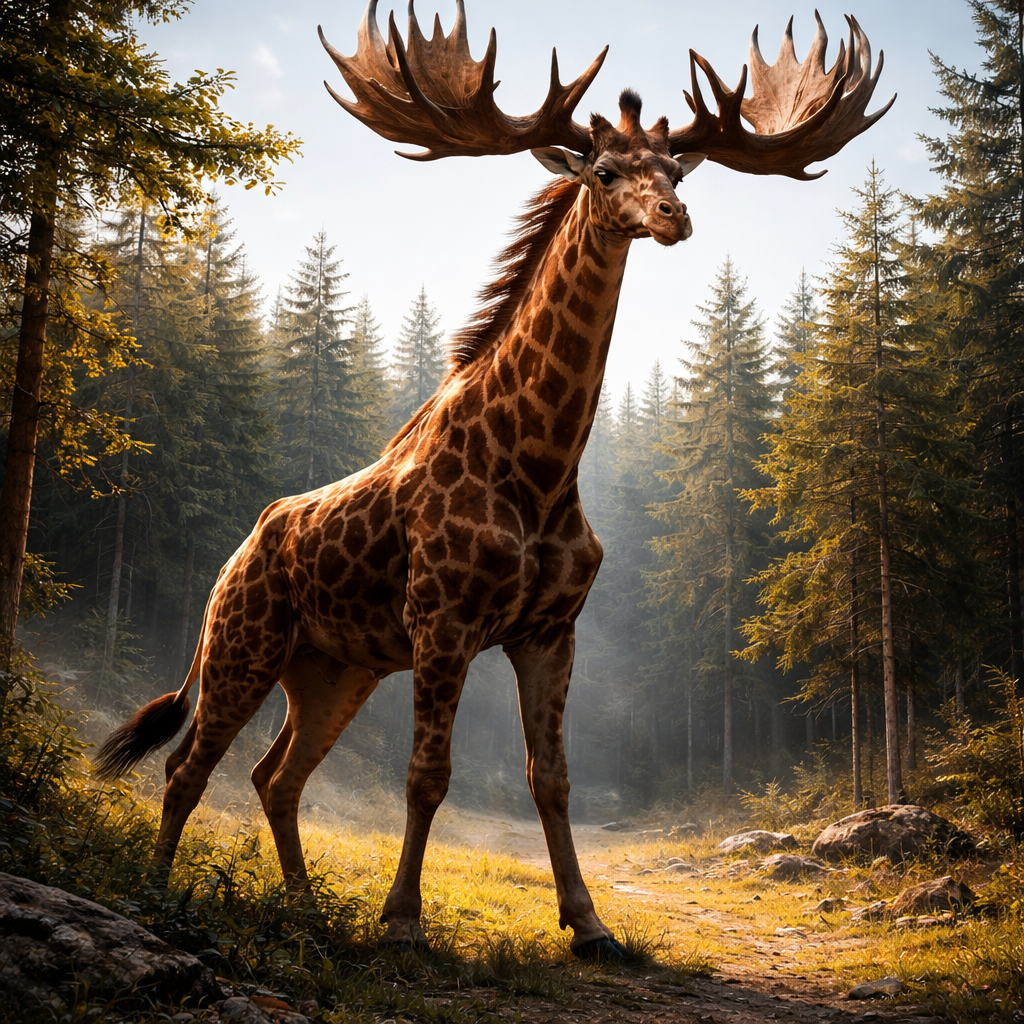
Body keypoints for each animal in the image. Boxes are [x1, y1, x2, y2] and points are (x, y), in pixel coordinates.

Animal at [98, 0, 891, 959]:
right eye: (606, 171)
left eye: (672, 168)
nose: (674, 215)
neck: (542, 468)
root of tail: (233, 559)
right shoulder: (443, 620)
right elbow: (428, 773)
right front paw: (403, 919)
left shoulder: (550, 628)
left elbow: (551, 776)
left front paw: (589, 923)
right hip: (241, 643)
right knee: (187, 763)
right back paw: (157, 892)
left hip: (333, 668)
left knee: (273, 775)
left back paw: (306, 907)